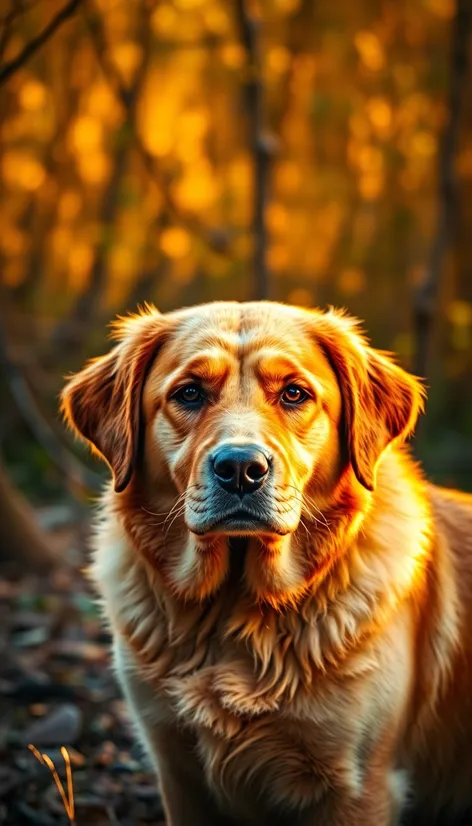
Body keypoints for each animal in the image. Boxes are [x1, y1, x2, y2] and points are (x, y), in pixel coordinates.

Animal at [60, 302, 472, 824]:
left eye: (294, 393)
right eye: (189, 393)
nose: (240, 469)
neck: (235, 607)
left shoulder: (361, 787)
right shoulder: (176, 770)